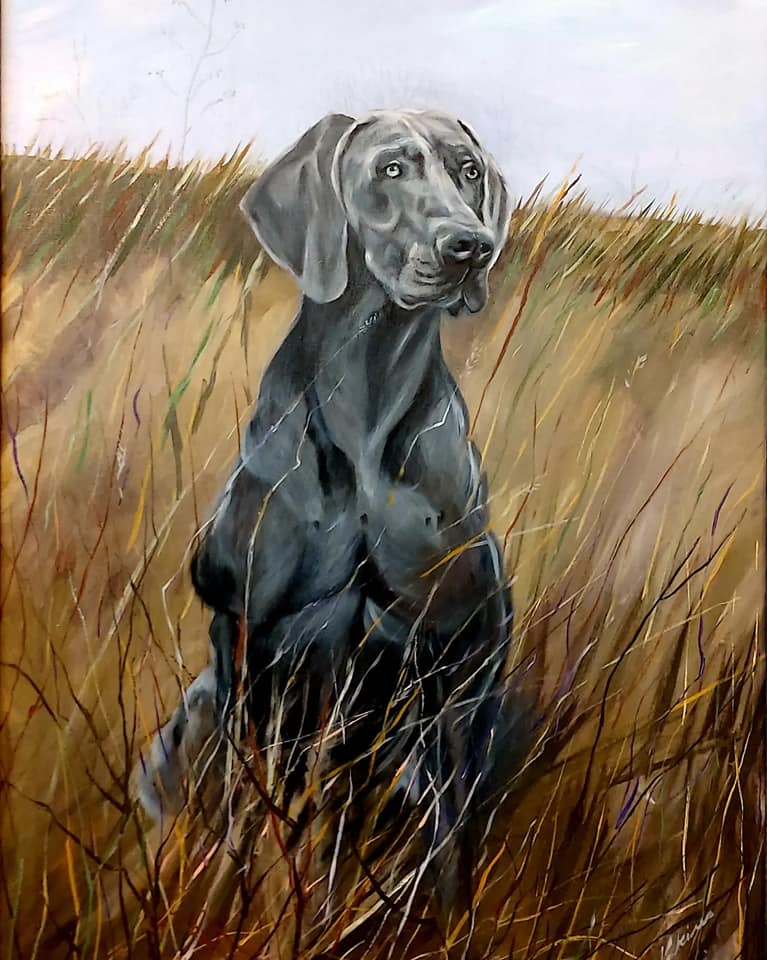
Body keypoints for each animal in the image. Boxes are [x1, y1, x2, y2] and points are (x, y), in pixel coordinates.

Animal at [134, 109, 530, 924]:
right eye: (390, 170)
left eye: (469, 170)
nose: (470, 246)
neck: (365, 409)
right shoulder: (248, 641)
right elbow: (247, 805)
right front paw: (227, 904)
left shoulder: (464, 659)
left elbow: (449, 836)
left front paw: (448, 924)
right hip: (188, 722)